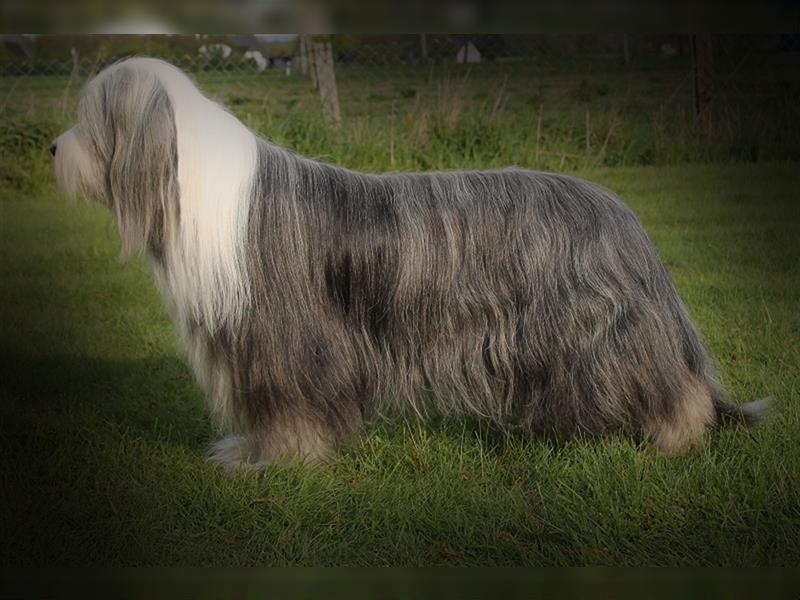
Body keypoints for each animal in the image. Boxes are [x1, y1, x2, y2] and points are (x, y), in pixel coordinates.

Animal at [50, 57, 768, 468]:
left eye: (91, 120)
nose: (55, 148)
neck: (198, 190)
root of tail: (624, 216)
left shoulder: (285, 339)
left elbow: (291, 407)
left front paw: (282, 461)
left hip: (599, 331)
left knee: (670, 384)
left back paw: (677, 438)